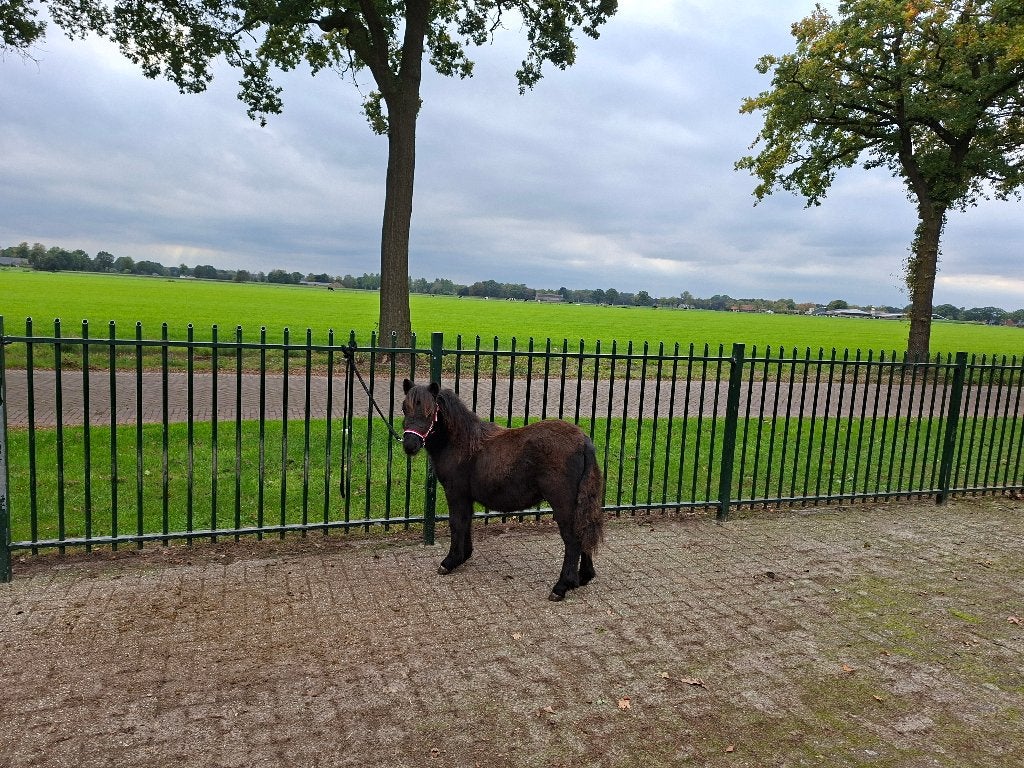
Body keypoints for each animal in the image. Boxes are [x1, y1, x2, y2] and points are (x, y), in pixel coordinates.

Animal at [401, 379, 605, 601]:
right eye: (404, 408)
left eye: (430, 412)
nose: (409, 445)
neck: (461, 443)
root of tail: (584, 442)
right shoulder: (467, 497)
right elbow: (466, 523)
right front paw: (463, 556)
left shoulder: (456, 493)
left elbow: (457, 523)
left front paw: (450, 561)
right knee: (584, 530)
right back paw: (583, 576)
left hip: (563, 503)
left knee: (573, 539)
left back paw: (561, 586)